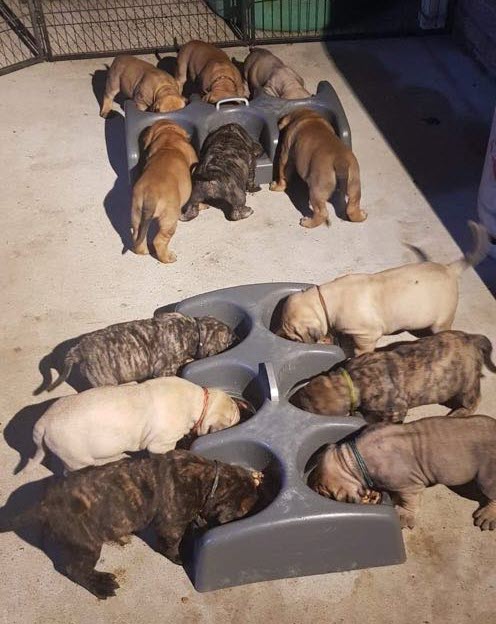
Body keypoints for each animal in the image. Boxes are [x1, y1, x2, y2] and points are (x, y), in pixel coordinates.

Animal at [0, 448, 264, 600]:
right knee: (75, 569)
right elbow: (171, 544)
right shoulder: (171, 525)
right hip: (88, 545)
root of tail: (43, 506)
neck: (211, 479)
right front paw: (180, 556)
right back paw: (100, 586)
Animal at [36, 310, 234, 392]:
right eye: (228, 338)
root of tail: (79, 350)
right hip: (105, 381)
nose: (236, 335)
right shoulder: (164, 371)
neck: (194, 330)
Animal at [131, 119, 197, 264]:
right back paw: (168, 258)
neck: (169, 138)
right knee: (159, 241)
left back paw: (145, 250)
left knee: (137, 235)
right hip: (169, 219)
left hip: (137, 213)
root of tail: (150, 194)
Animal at [290, 330, 496, 422]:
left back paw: (460, 412)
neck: (354, 379)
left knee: (474, 400)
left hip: (466, 386)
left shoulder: (396, 410)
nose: (294, 401)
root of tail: (472, 338)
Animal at [310, 414, 496, 532]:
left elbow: (409, 501)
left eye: (328, 494)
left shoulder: (409, 486)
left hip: (488, 476)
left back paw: (488, 516)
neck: (351, 461)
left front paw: (404, 515)